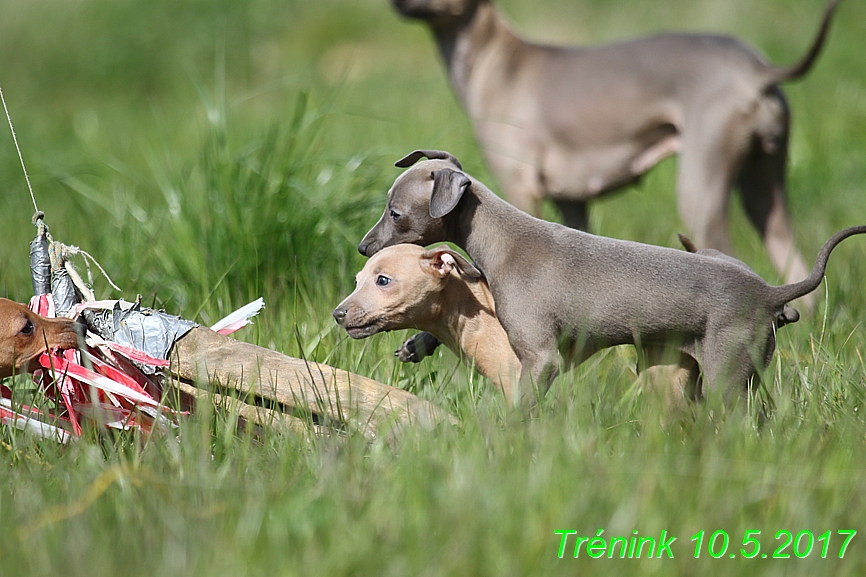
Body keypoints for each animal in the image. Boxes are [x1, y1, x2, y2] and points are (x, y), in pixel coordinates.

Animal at [356, 150, 856, 410]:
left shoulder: (541, 357)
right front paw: (417, 343)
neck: (503, 240)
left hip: (726, 373)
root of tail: (769, 292)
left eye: (394, 213)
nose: (363, 247)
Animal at [390, 1, 836, 302]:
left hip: (701, 185)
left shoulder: (520, 187)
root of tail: (756, 68)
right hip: (764, 187)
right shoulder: (573, 203)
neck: (496, 61)